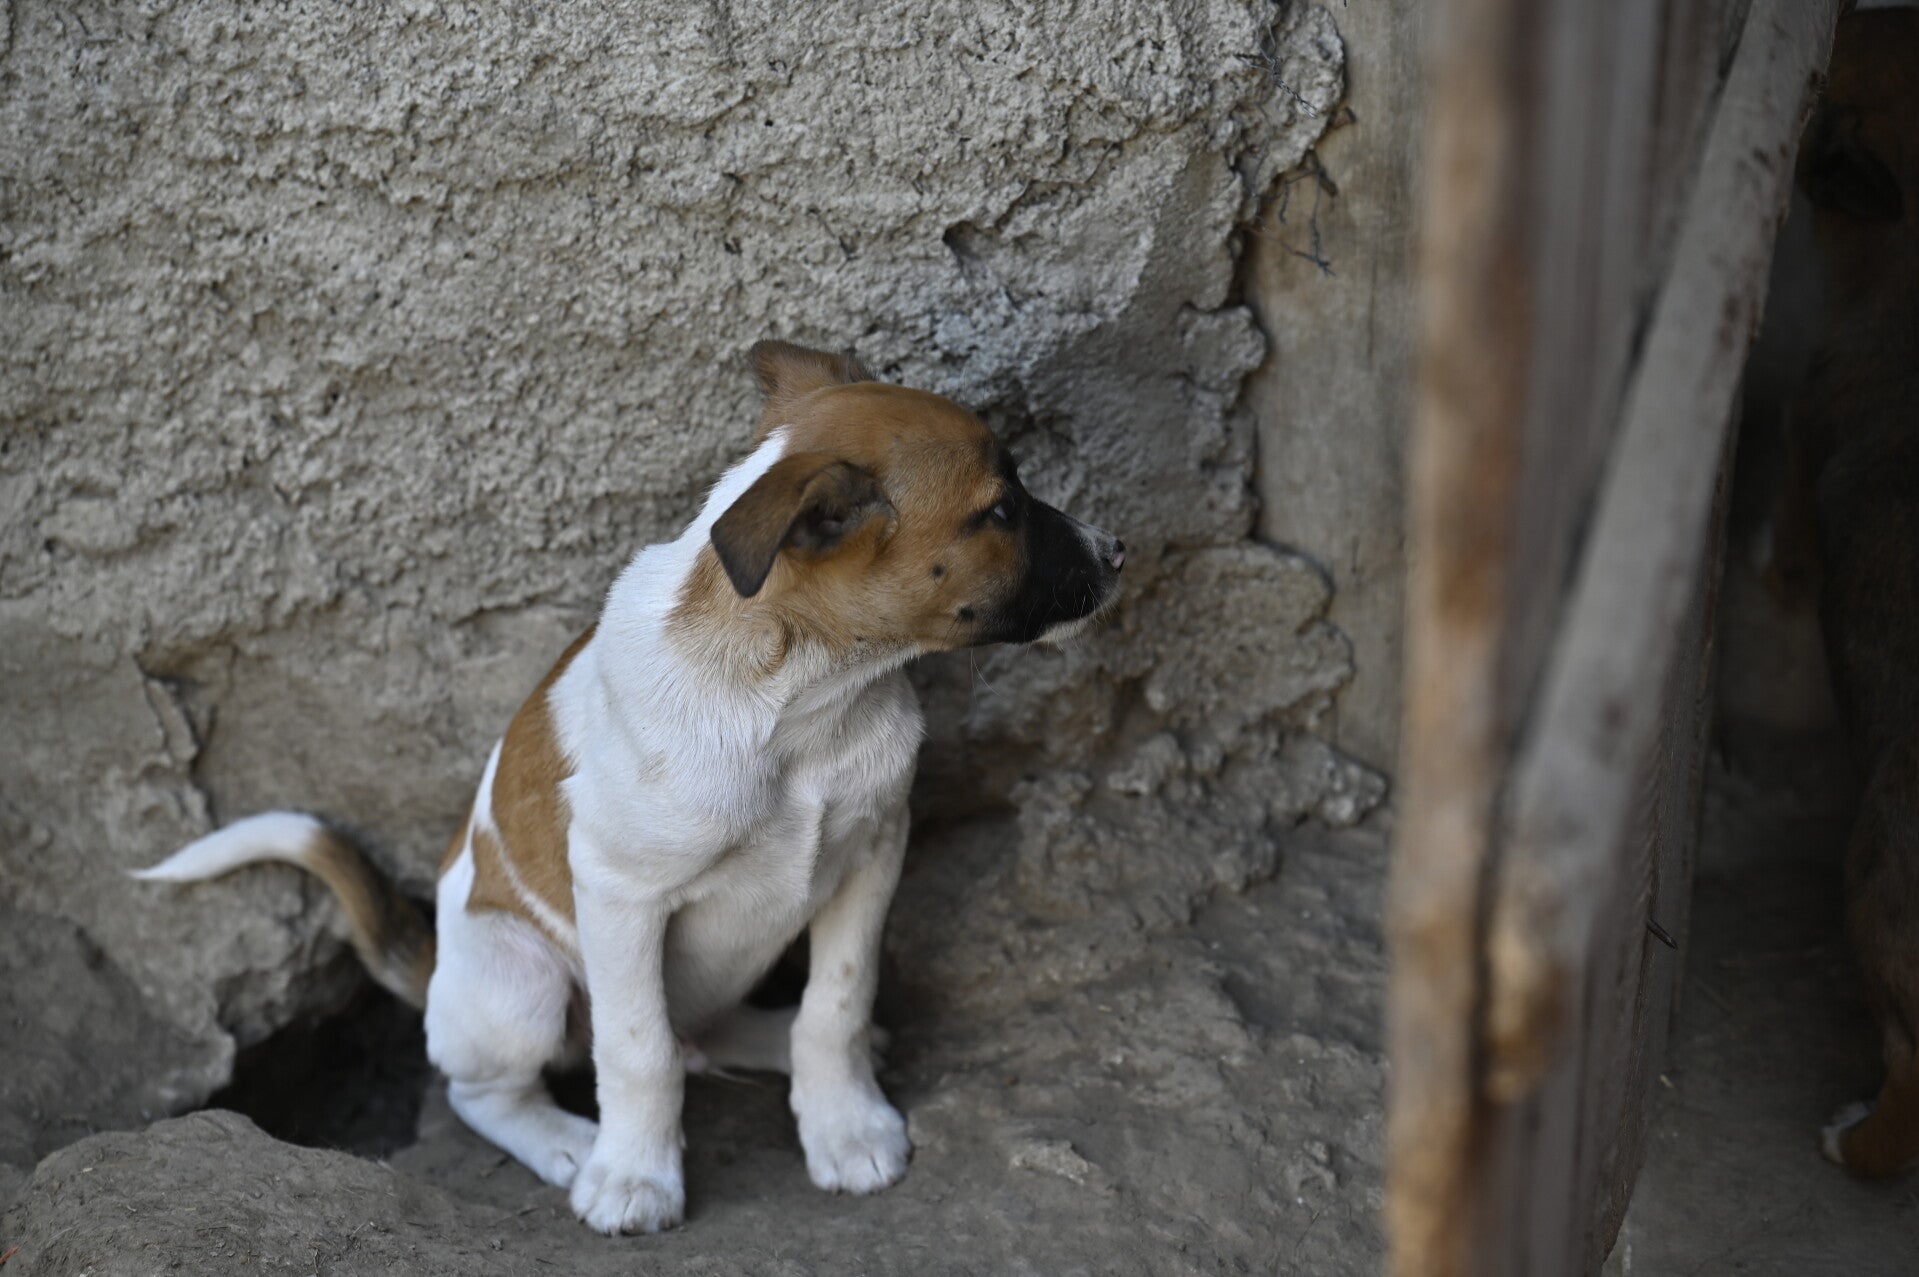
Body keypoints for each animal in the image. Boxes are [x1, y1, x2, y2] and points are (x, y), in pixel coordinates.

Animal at [135, 340, 1125, 1232]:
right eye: (1001, 510)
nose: (1117, 550)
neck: (798, 705)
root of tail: (436, 968)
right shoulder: (620, 896)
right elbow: (636, 1047)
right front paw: (634, 1177)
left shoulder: (873, 850)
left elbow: (836, 1004)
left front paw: (842, 1123)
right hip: (518, 976)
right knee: (491, 1087)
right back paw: (568, 1141)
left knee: (712, 1032)